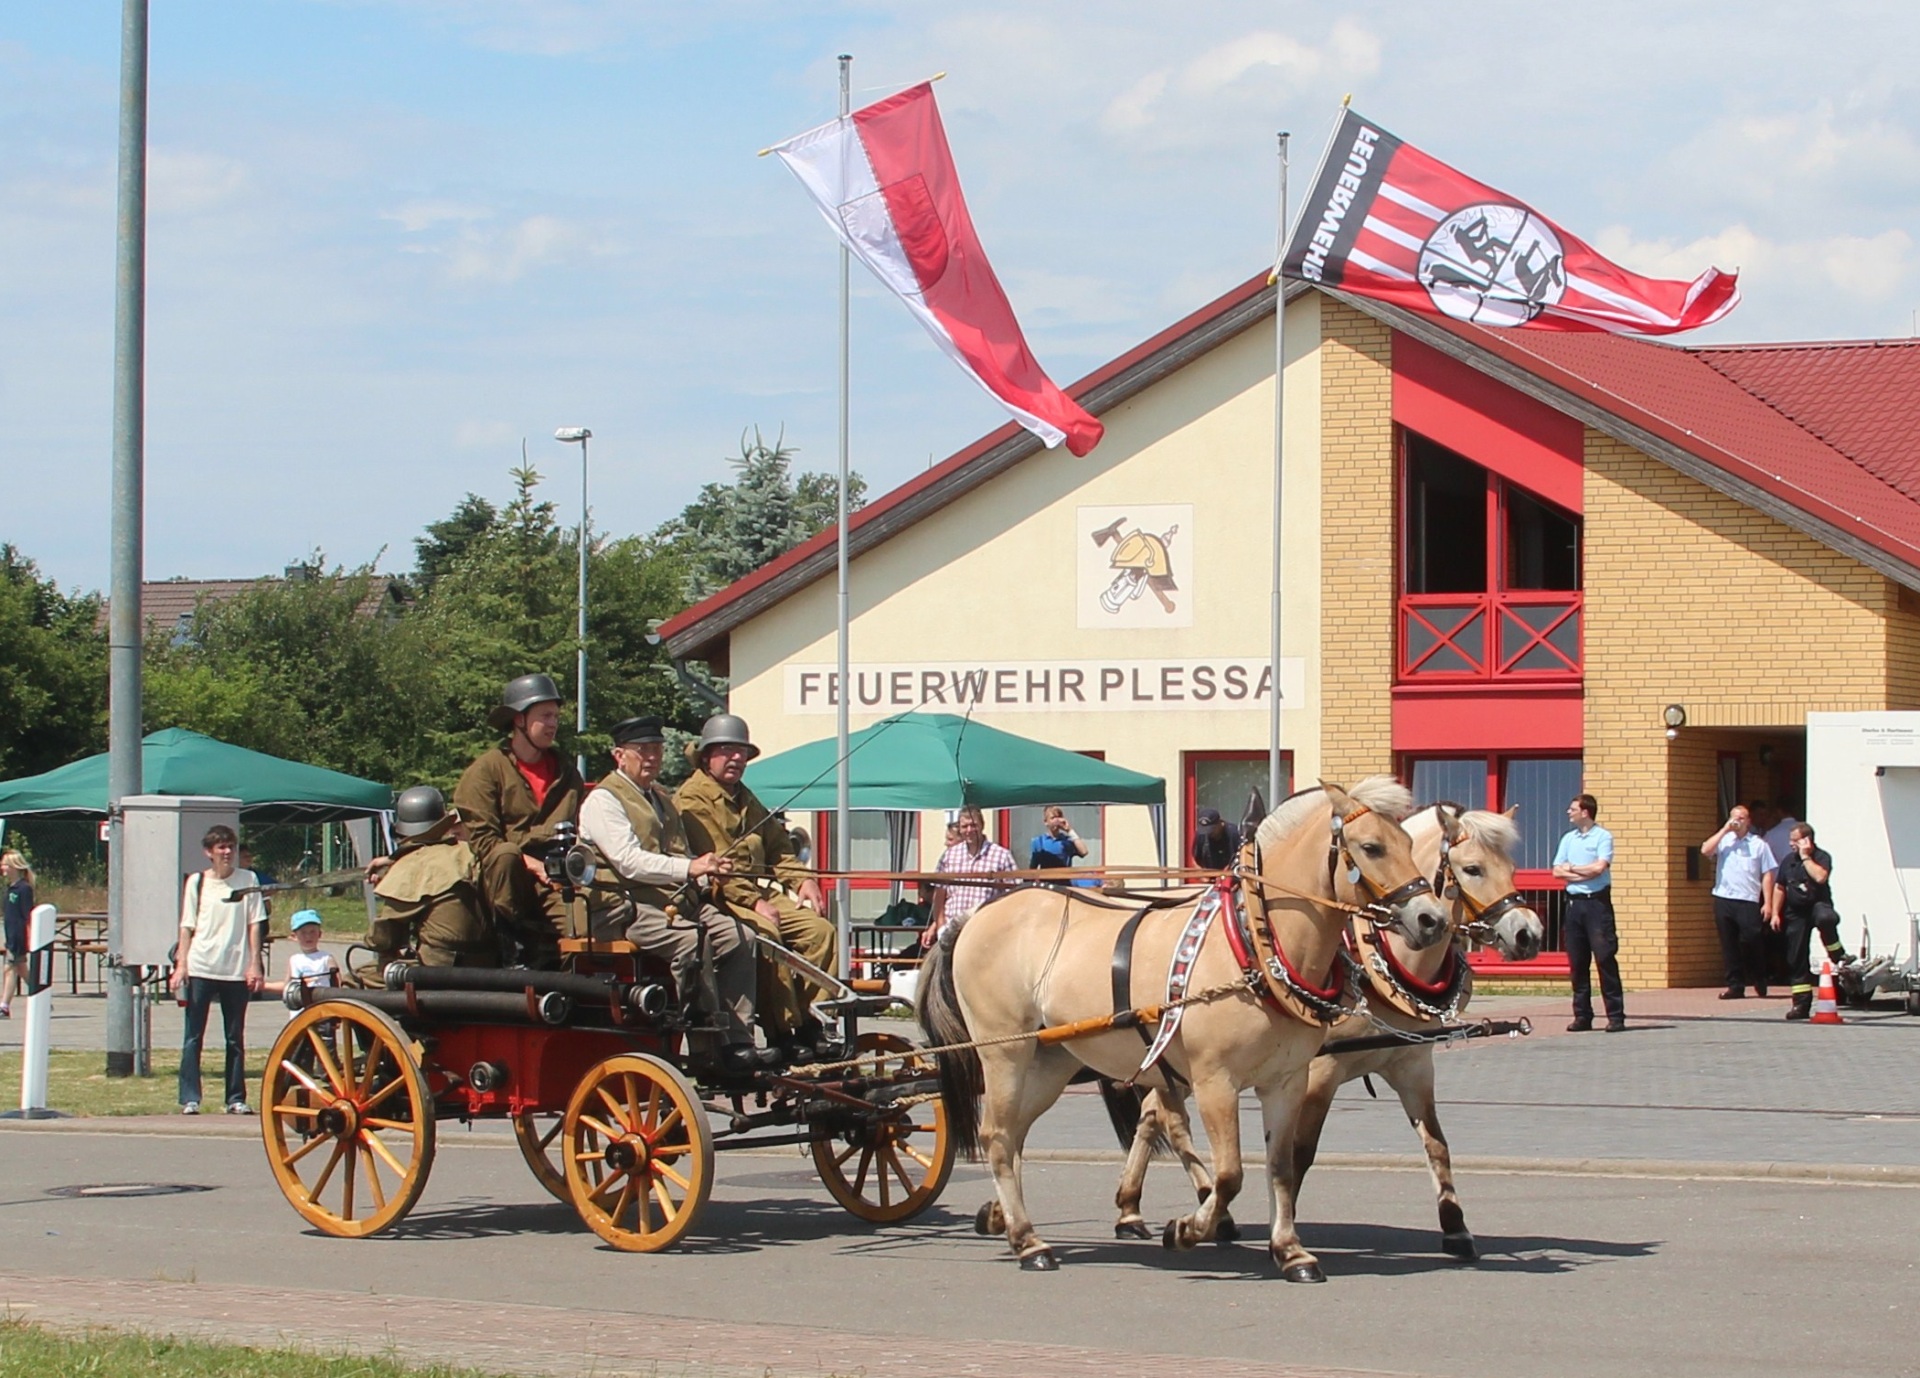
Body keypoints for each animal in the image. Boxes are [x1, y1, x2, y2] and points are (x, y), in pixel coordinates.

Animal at [913, 775, 1443, 1282]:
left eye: (1406, 841)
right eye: (1371, 847)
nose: (1431, 919)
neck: (1251, 939)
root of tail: (970, 917)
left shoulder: (1286, 1081)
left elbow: (1280, 1168)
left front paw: (1291, 1252)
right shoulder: (1215, 1082)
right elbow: (1230, 1174)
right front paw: (1188, 1228)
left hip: (1051, 1062)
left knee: (1013, 1134)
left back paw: (1006, 1221)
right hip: (1005, 1054)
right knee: (997, 1136)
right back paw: (1029, 1241)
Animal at [1113, 809, 1543, 1266]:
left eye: (1511, 867)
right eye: (1473, 869)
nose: (1529, 933)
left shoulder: (1411, 1066)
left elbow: (1436, 1144)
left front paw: (1456, 1227)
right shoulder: (1319, 1071)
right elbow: (1300, 1153)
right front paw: (1284, 1229)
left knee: (1152, 1115)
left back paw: (1135, 1210)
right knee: (1164, 1119)